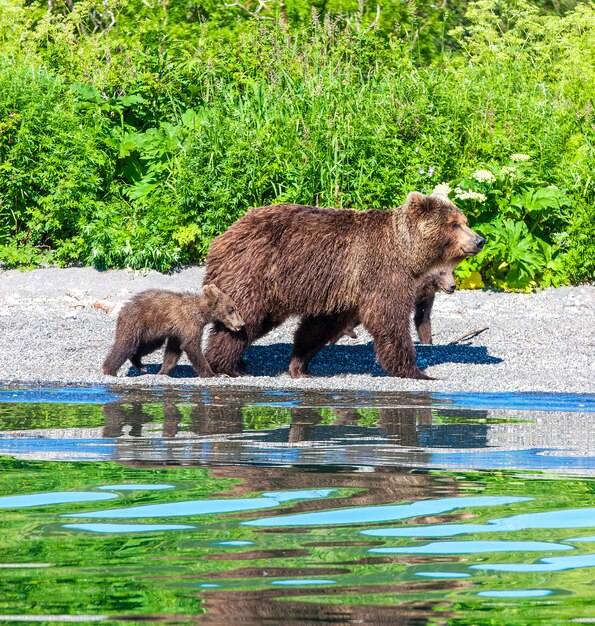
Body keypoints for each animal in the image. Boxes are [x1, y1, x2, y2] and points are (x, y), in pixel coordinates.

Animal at [205, 191, 484, 376]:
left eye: (465, 221)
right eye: (454, 224)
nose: (479, 240)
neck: (406, 252)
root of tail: (223, 237)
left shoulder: (345, 286)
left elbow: (320, 327)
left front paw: (299, 365)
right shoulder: (380, 272)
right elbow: (389, 319)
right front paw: (415, 370)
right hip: (256, 272)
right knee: (243, 316)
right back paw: (224, 365)